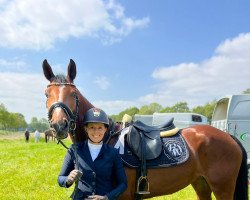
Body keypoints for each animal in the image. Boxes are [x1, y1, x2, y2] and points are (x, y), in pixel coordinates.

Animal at [42, 59, 248, 200]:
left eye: (73, 94)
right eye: (46, 94)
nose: (59, 125)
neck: (106, 138)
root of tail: (229, 137)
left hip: (222, 187)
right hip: (201, 183)